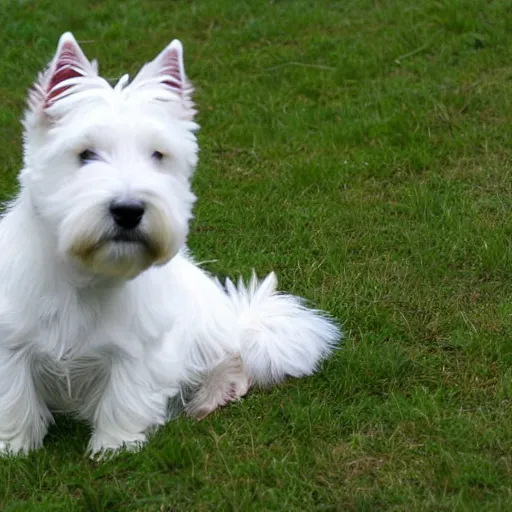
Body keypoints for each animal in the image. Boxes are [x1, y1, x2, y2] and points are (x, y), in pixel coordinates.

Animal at [0, 31, 340, 456]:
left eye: (157, 155)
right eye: (85, 154)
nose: (128, 210)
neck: (86, 277)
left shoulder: (136, 350)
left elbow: (124, 398)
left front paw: (114, 448)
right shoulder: (12, 345)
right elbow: (16, 400)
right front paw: (15, 448)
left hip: (211, 328)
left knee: (233, 357)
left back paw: (212, 397)